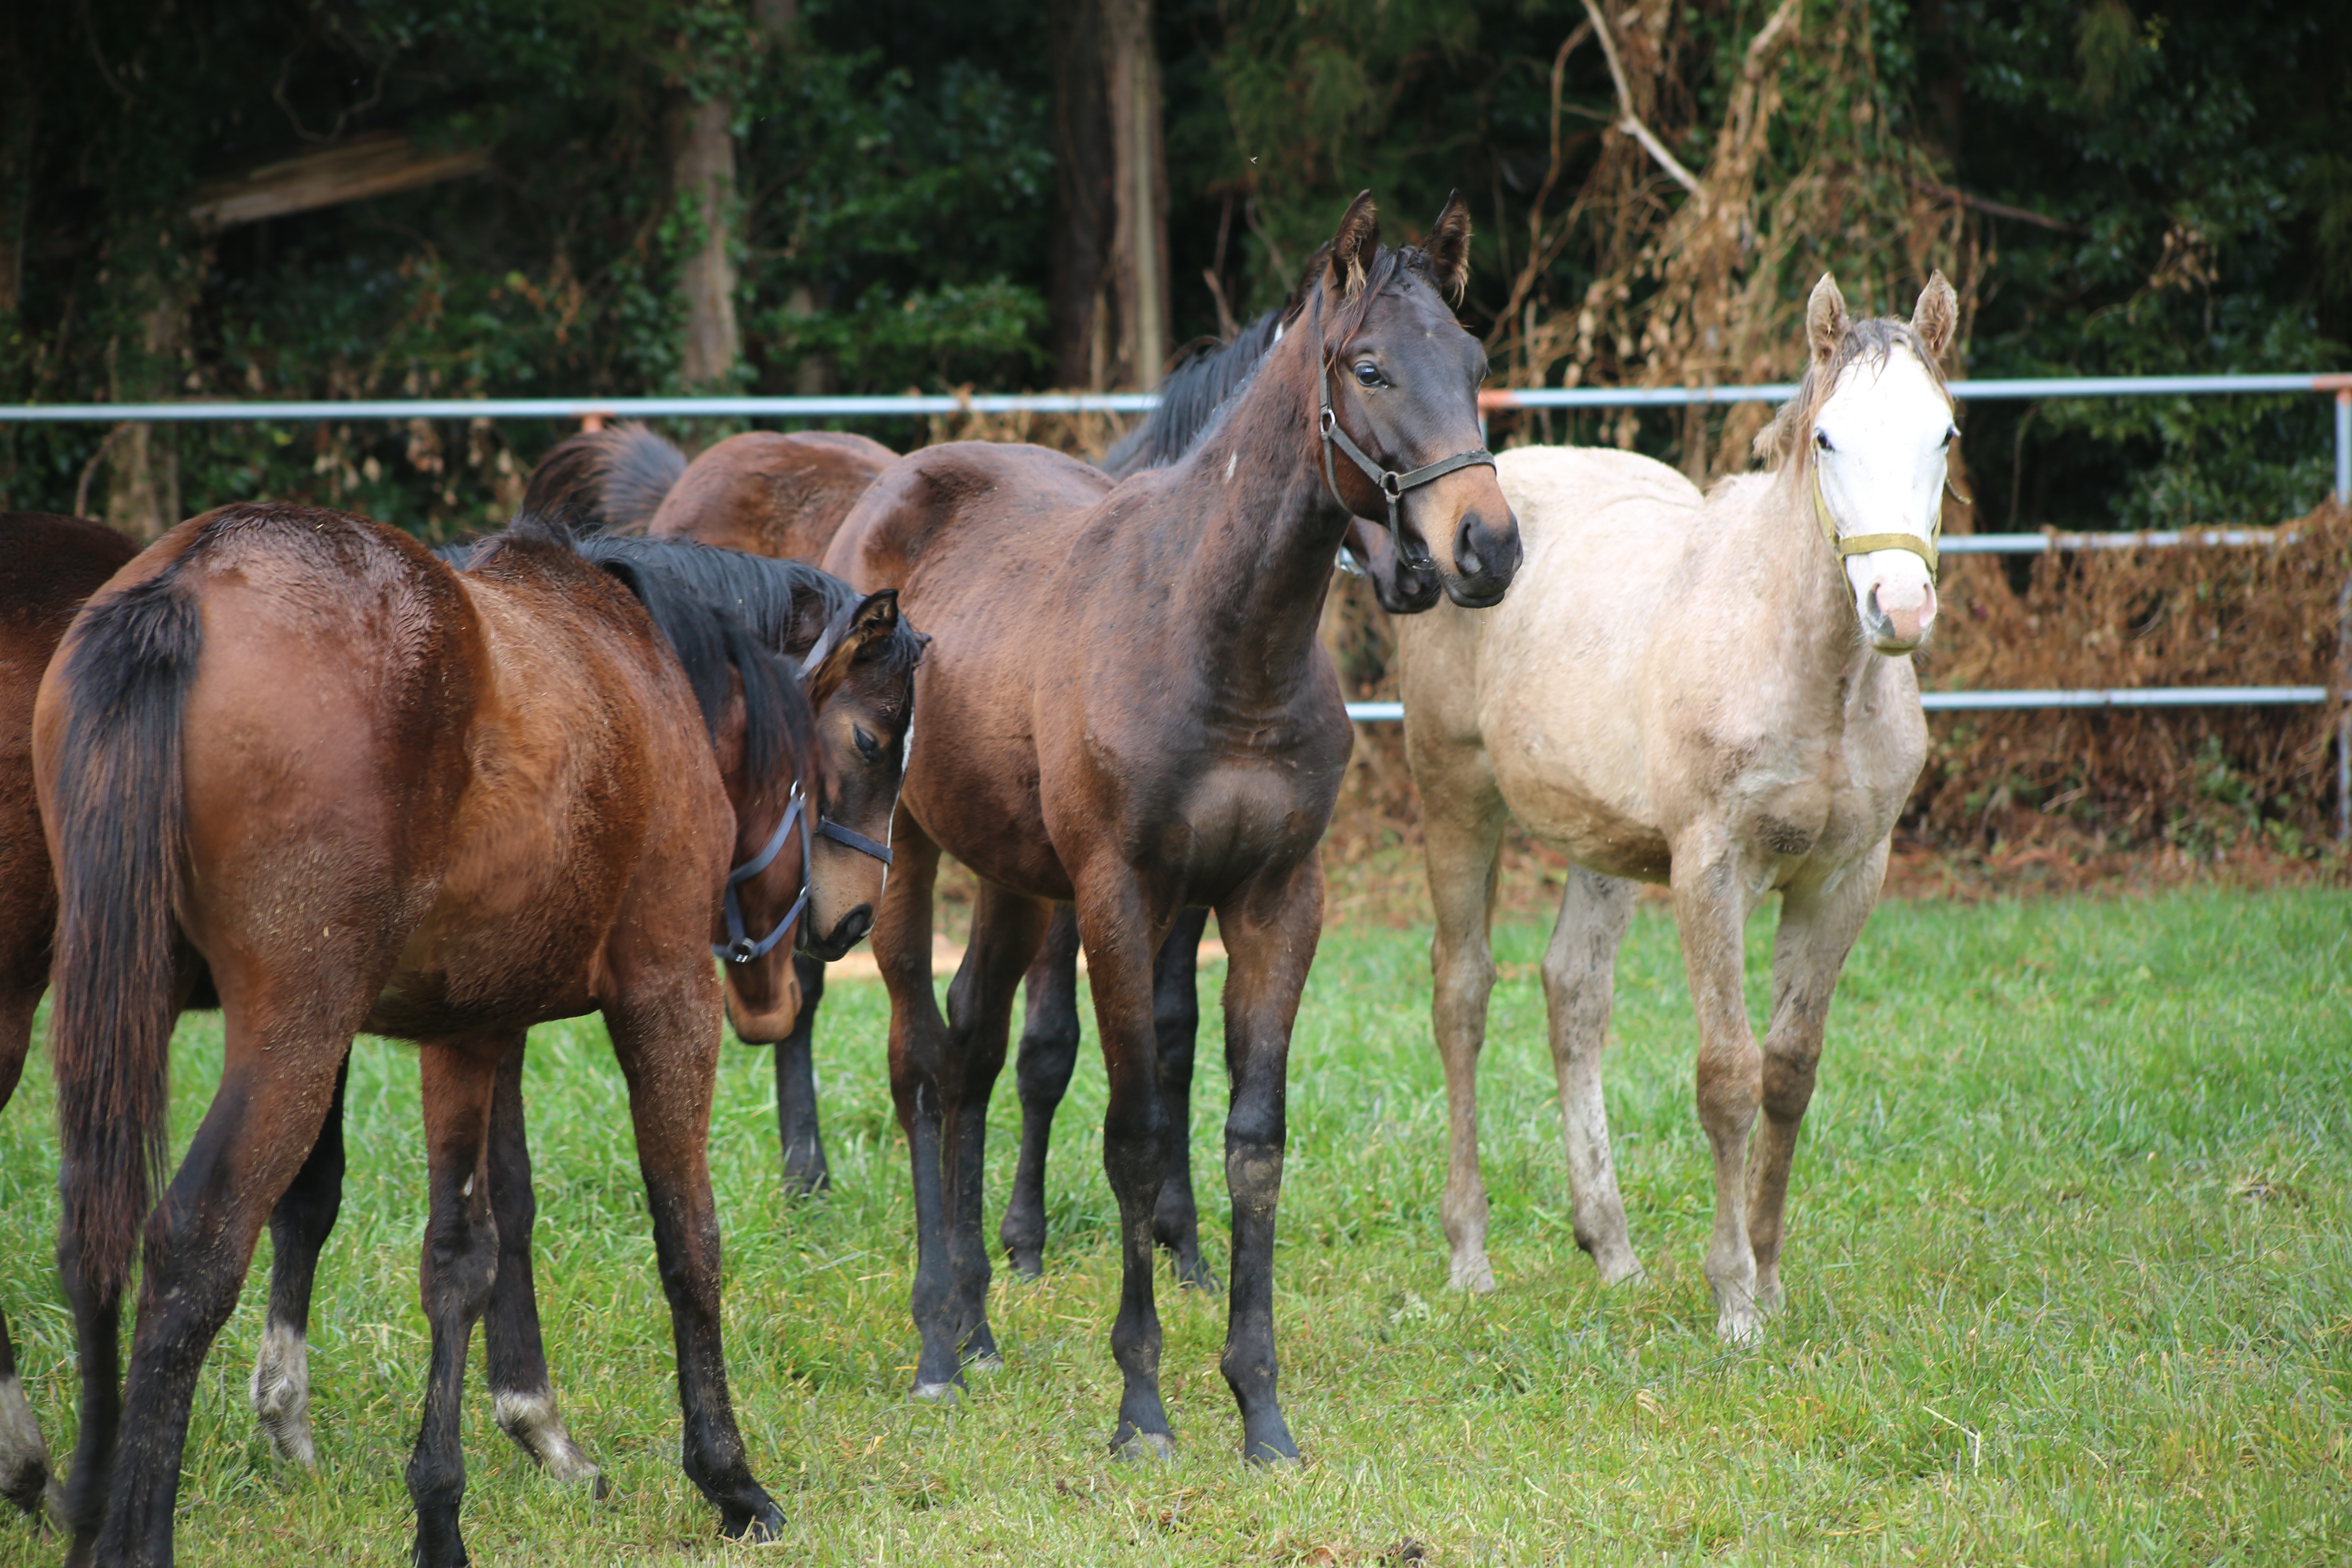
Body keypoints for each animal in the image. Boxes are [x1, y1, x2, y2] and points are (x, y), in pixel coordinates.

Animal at [37, 510, 833, 1561]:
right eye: (865, 749)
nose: (822, 949)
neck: (635, 654)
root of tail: (190, 575)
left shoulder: (483, 1025)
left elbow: (484, 1235)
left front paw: (513, 1451)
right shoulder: (666, 991)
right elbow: (685, 1235)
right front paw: (727, 1477)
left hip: (130, 997)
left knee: (96, 1225)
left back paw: (87, 1497)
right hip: (295, 1031)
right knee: (190, 1246)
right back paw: (136, 1530)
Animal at [828, 193, 1524, 1457]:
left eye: (1476, 363)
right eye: (1369, 367)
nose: (1482, 548)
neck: (1218, 638)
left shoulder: (1272, 897)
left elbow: (1251, 1140)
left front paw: (1260, 1406)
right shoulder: (1120, 894)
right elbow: (1137, 1133)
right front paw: (1142, 1407)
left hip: (1012, 876)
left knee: (973, 1048)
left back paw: (980, 1322)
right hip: (903, 855)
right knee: (920, 1062)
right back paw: (937, 1343)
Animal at [1392, 276, 1947, 1345]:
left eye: (1943, 433)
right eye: (1827, 438)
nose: (1897, 608)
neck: (1804, 665)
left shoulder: (1843, 879)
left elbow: (1788, 1072)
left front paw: (1769, 1278)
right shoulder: (1712, 868)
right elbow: (1726, 1076)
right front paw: (1733, 1304)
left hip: (1601, 842)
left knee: (1573, 994)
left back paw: (1610, 1248)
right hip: (1454, 794)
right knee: (1461, 995)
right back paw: (1469, 1256)